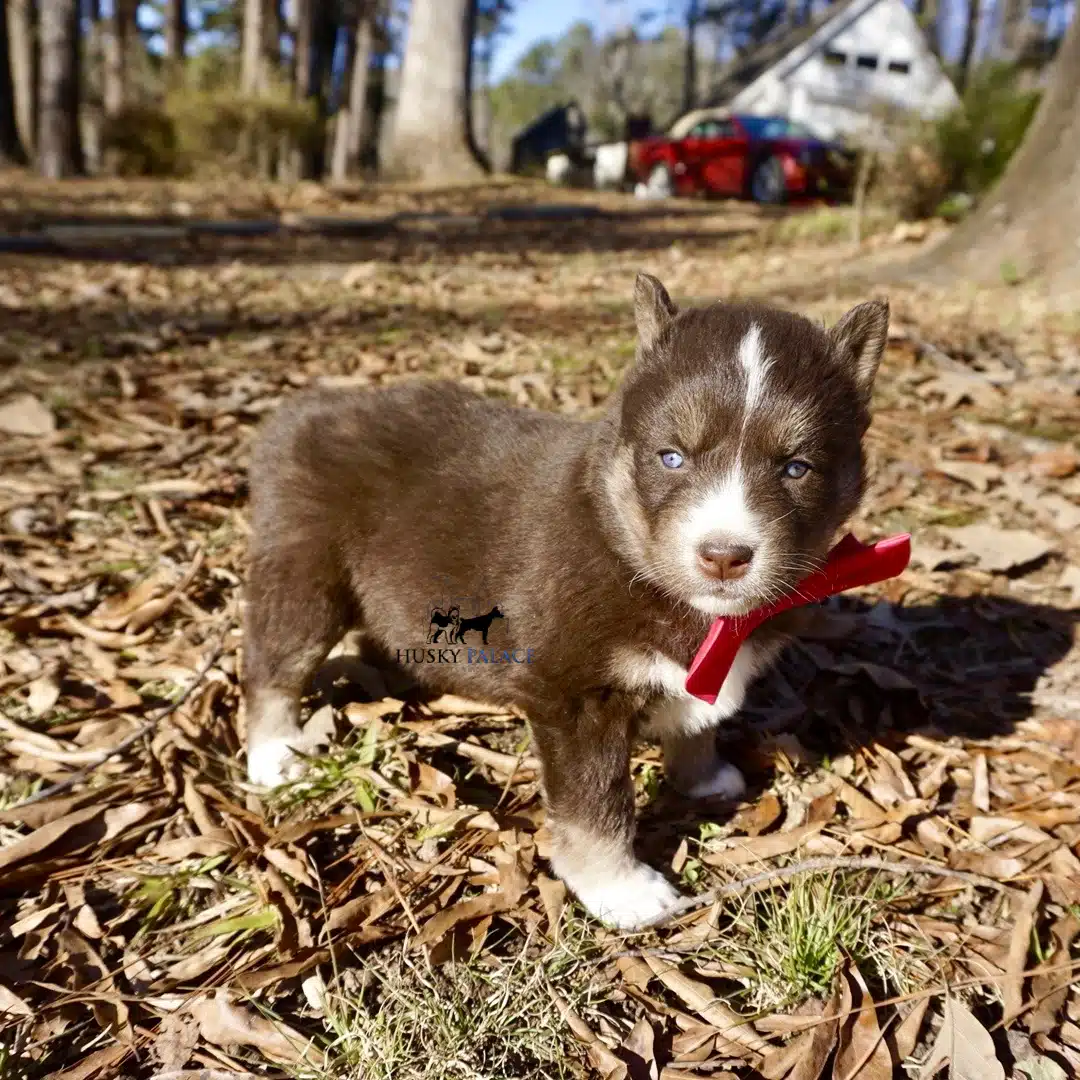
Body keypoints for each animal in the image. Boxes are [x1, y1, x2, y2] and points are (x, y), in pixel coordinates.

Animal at [243, 272, 885, 928]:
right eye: (671, 457)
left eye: (796, 468)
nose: (724, 555)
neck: (624, 540)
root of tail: (301, 412)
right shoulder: (575, 699)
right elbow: (596, 804)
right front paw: (622, 890)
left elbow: (697, 721)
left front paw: (704, 779)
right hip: (304, 573)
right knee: (274, 666)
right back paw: (273, 757)